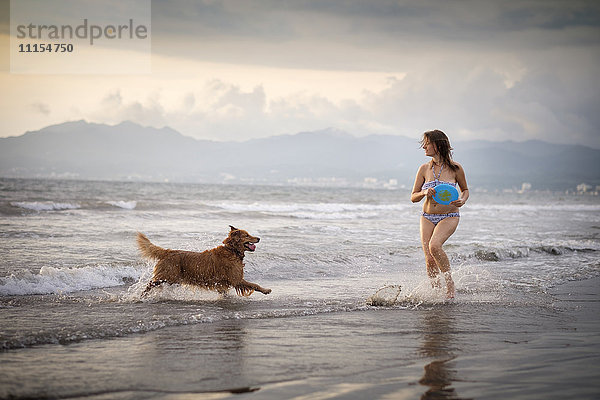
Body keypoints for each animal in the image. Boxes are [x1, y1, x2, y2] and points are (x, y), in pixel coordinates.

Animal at [137, 227, 270, 296]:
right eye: (247, 235)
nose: (259, 238)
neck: (232, 250)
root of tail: (167, 251)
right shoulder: (236, 279)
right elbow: (255, 285)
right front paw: (266, 290)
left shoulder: (223, 283)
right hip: (166, 276)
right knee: (149, 284)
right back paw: (141, 295)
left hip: (171, 279)